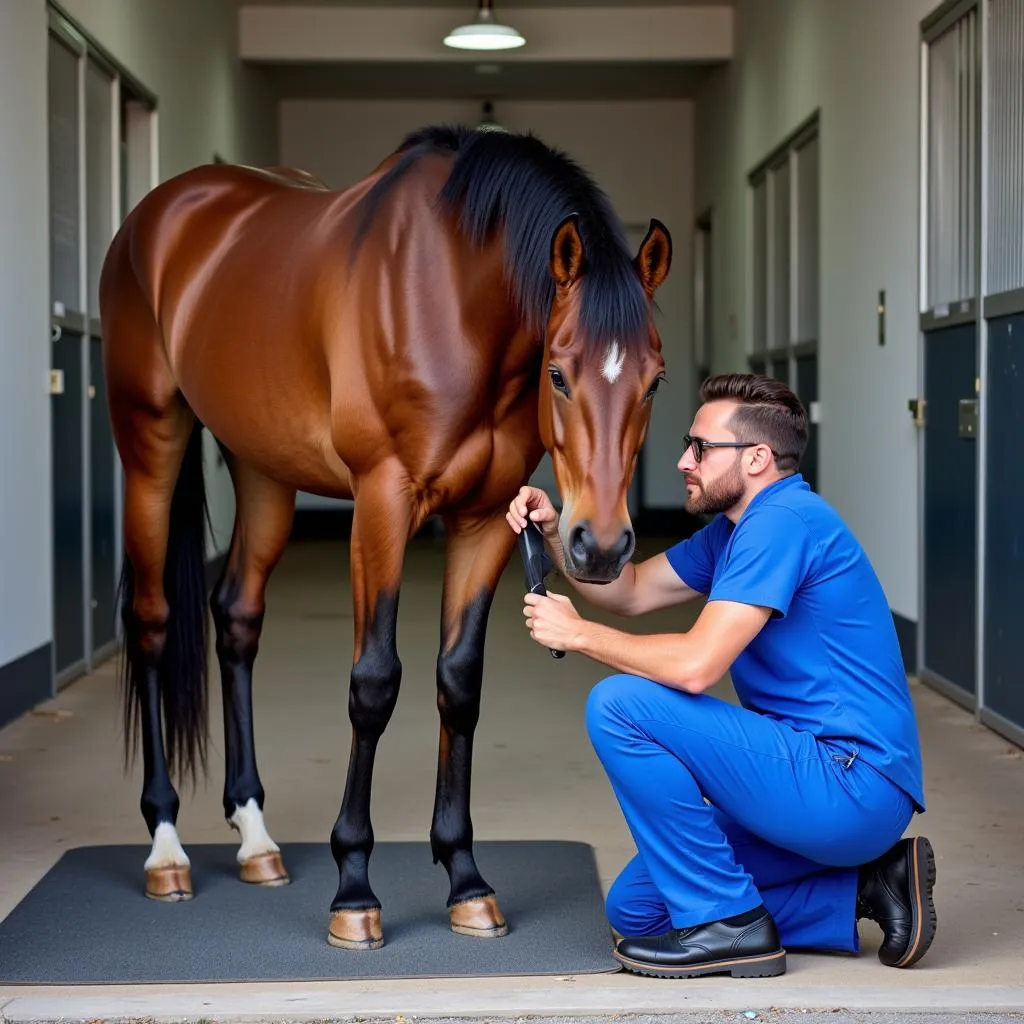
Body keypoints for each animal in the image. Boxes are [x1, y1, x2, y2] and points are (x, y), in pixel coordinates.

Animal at [96, 123, 671, 946]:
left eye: (655, 381)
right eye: (560, 373)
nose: (601, 546)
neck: (454, 298)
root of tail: (161, 213)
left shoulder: (485, 519)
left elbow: (459, 684)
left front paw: (465, 879)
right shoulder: (382, 503)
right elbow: (374, 684)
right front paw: (354, 889)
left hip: (262, 468)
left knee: (236, 616)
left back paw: (255, 838)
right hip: (150, 442)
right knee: (149, 624)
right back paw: (166, 849)